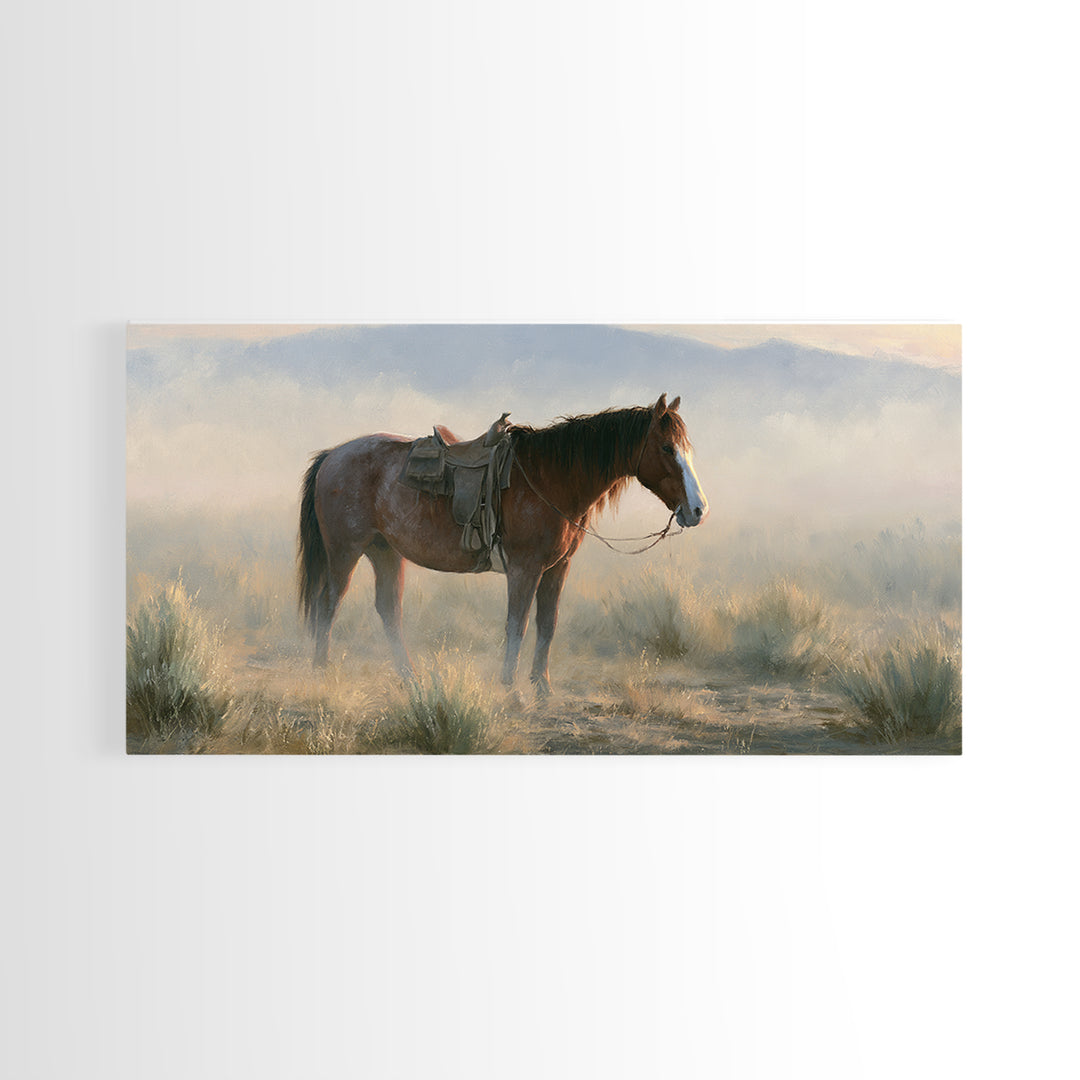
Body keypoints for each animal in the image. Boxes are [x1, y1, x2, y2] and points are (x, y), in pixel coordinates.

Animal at [297, 393, 708, 695]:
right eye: (667, 449)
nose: (698, 510)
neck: (551, 478)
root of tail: (333, 455)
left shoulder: (557, 567)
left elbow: (547, 624)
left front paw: (542, 689)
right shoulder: (524, 569)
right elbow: (518, 625)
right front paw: (511, 692)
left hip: (385, 552)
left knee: (388, 611)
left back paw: (410, 679)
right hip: (345, 552)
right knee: (328, 605)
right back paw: (322, 672)